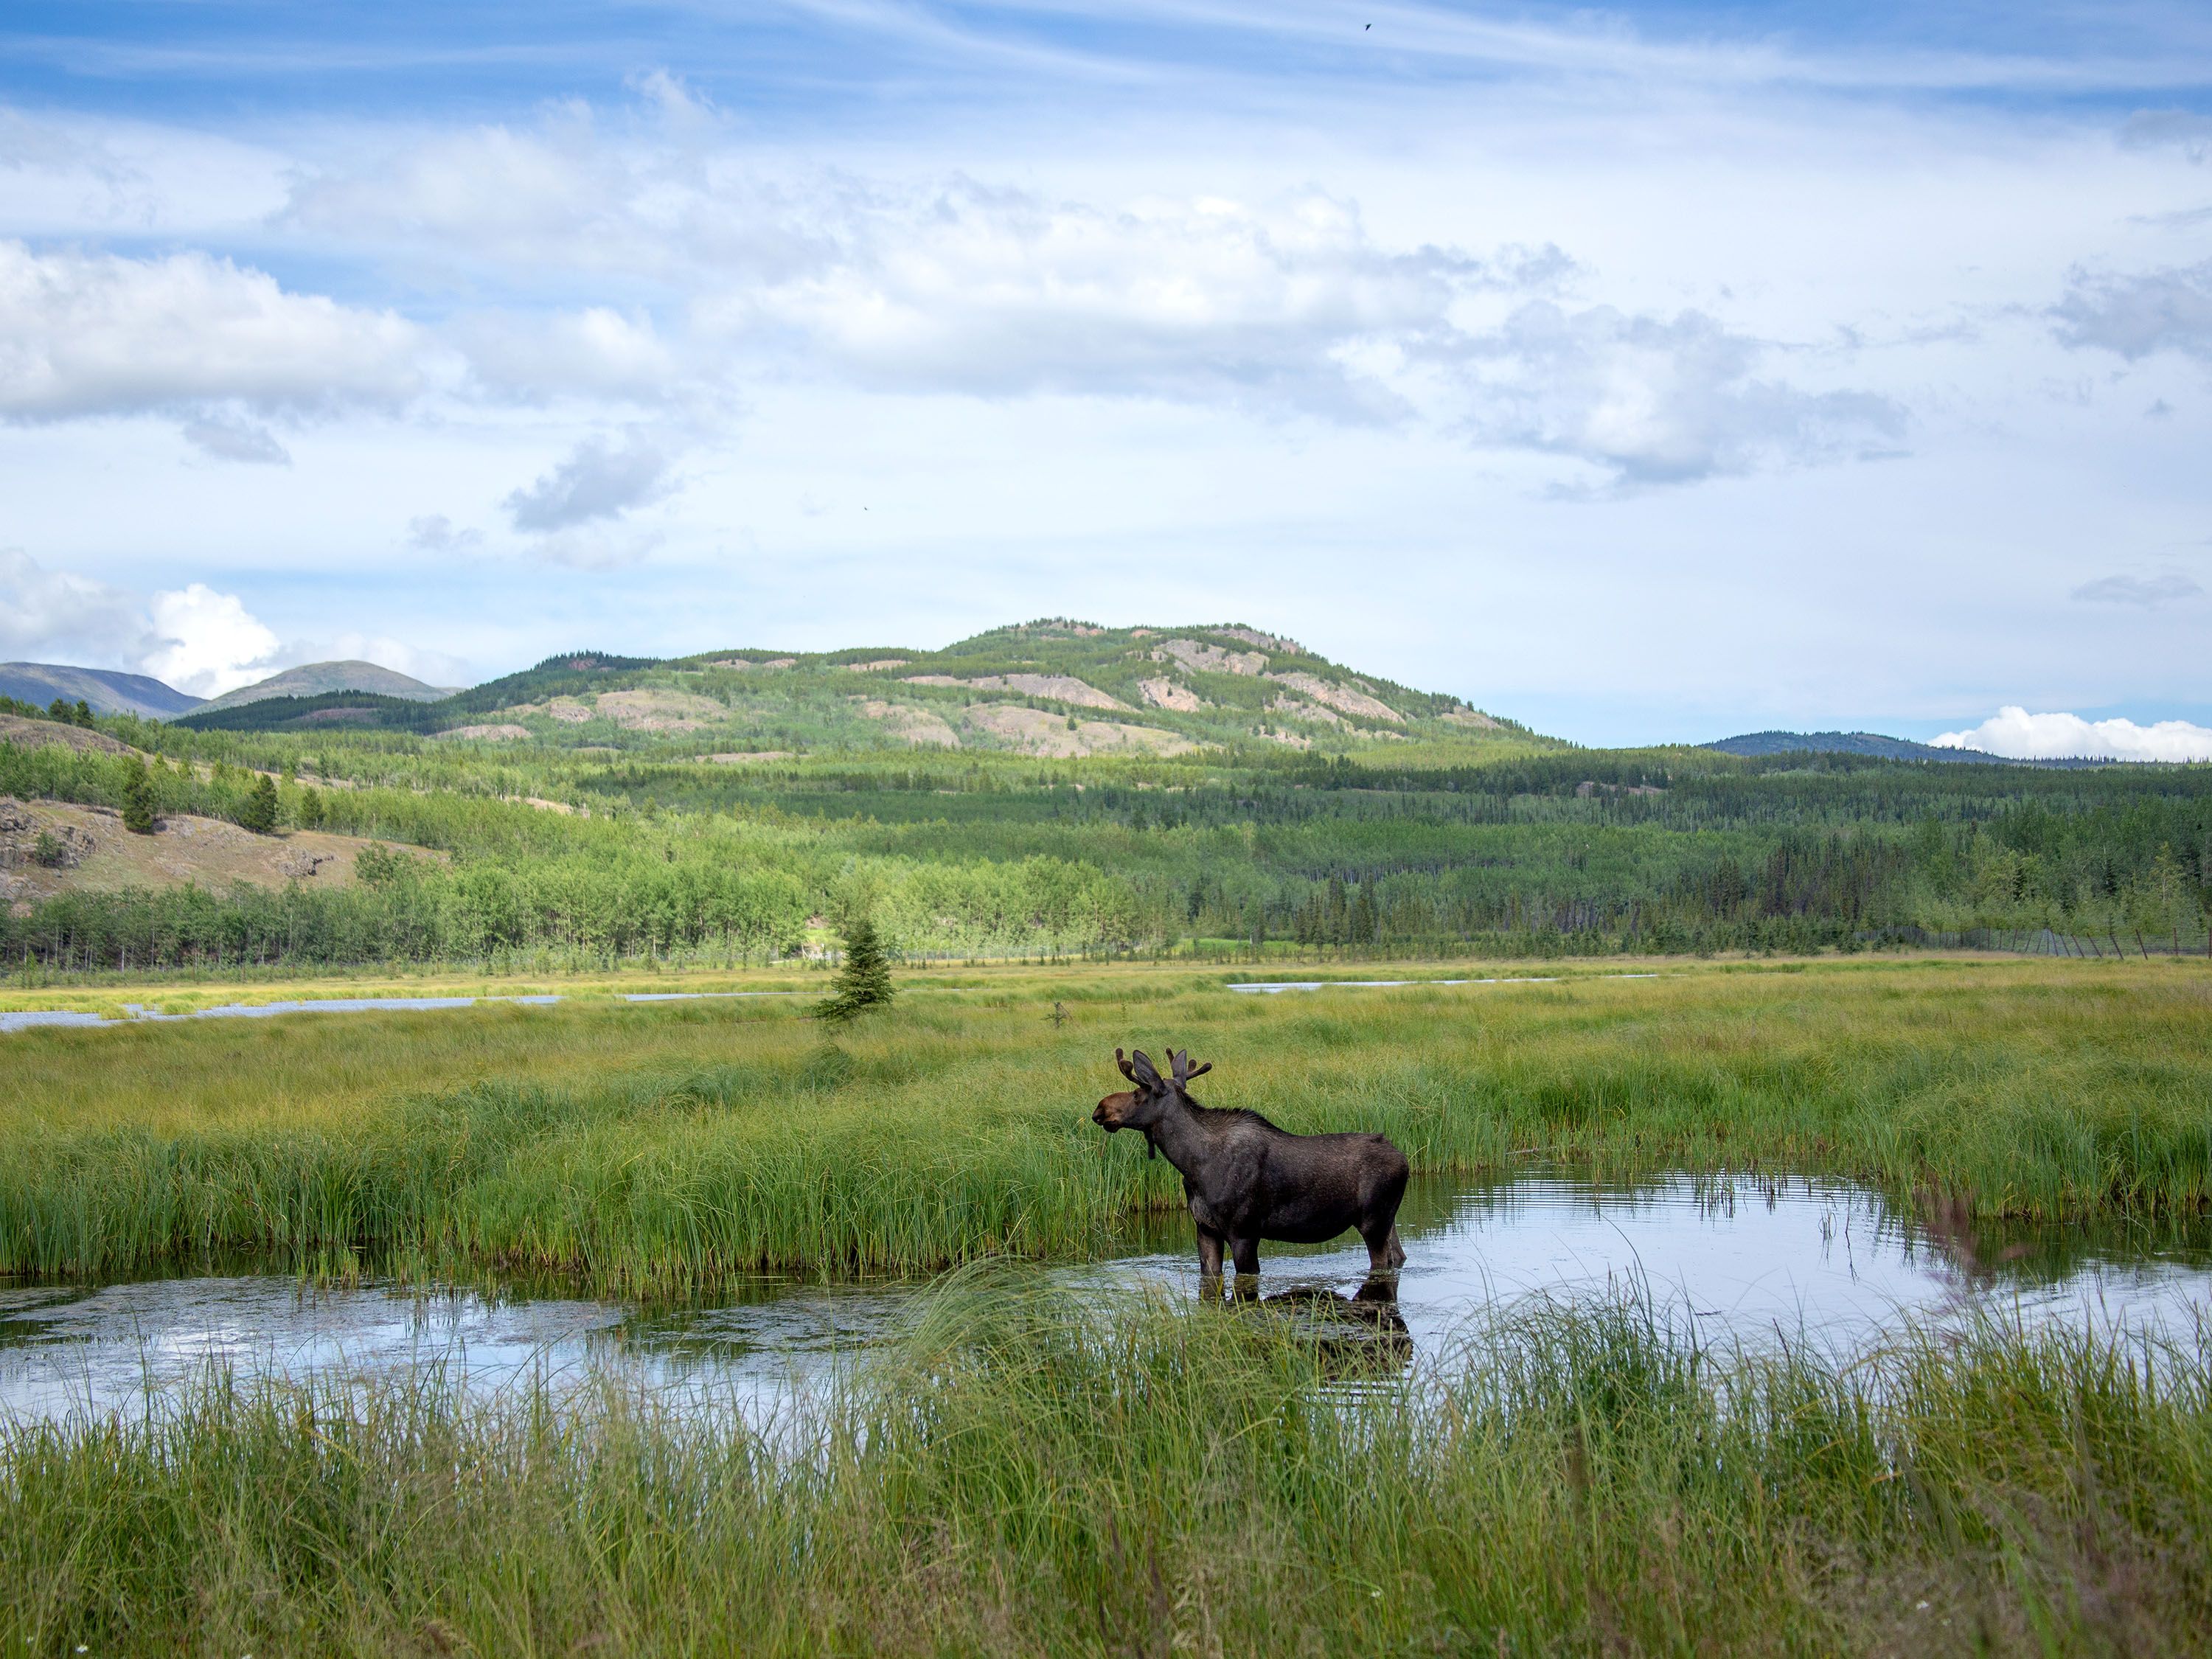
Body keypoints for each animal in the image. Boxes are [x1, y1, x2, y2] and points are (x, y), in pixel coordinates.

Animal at [1093, 1046, 1408, 1290]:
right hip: (1388, 1220)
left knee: (1382, 1263)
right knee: (1399, 1256)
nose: (1100, 1109)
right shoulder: (1205, 1228)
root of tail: (1404, 1159)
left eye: (1137, 1093)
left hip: (1373, 1220)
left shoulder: (1244, 1231)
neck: (1192, 1165)